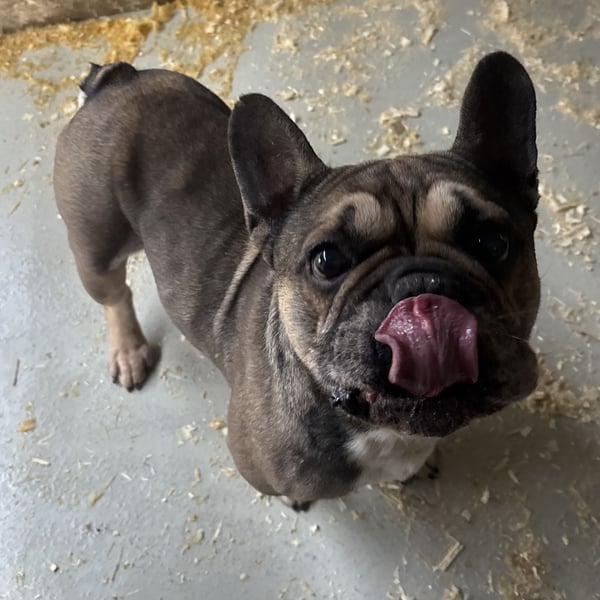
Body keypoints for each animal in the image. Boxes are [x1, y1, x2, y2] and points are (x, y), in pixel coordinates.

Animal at [54, 51, 540, 510]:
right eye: (327, 260)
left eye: (491, 242)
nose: (422, 288)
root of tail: (118, 80)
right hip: (95, 246)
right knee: (115, 295)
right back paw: (128, 350)